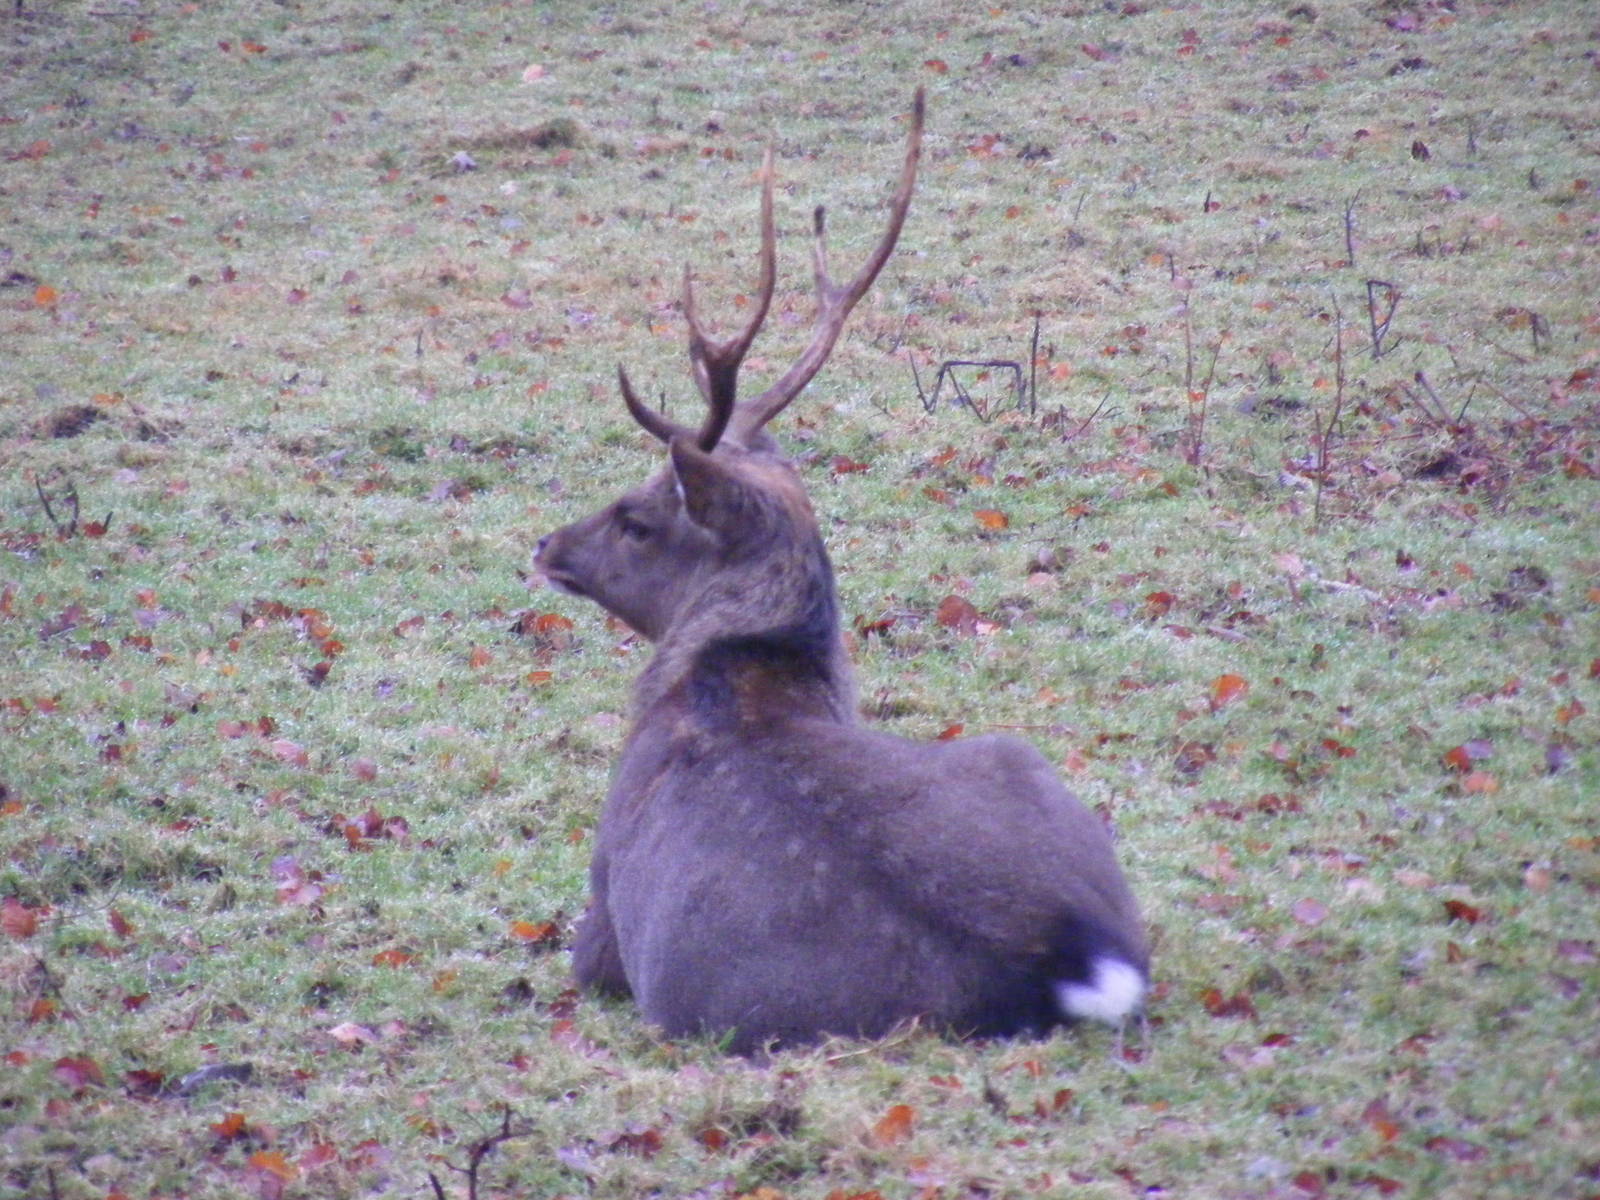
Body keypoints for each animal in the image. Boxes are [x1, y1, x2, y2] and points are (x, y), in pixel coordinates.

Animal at [534, 91, 1147, 1055]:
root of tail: (1058, 962)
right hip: (1021, 756)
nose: (548, 546)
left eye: (637, 517)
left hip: (726, 1013)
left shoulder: (601, 919)